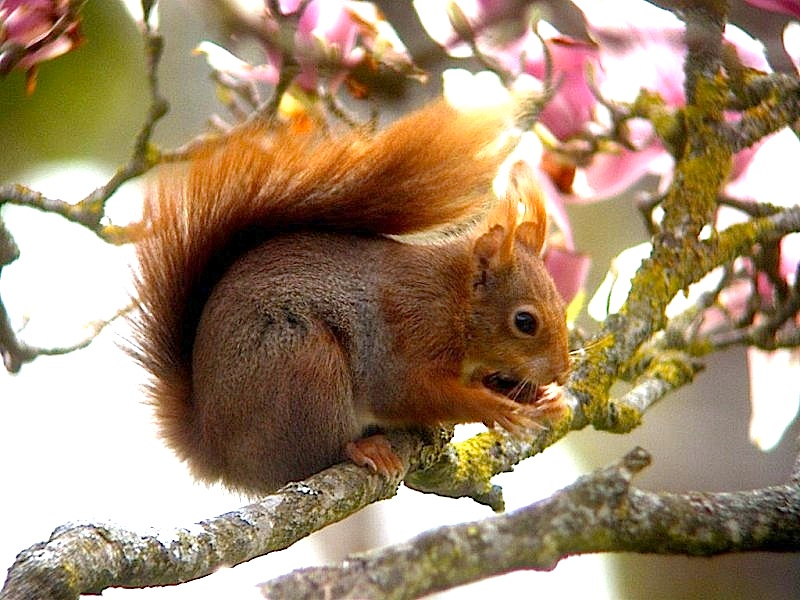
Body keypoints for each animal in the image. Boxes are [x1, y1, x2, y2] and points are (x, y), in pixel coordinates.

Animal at [131, 102, 568, 496]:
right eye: (525, 321)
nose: (562, 373)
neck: (453, 301)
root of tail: (216, 453)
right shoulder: (404, 333)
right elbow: (410, 392)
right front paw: (497, 408)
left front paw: (534, 396)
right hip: (305, 365)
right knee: (314, 455)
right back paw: (362, 448)